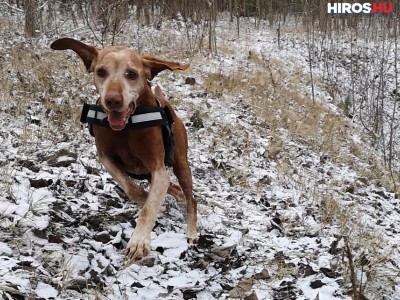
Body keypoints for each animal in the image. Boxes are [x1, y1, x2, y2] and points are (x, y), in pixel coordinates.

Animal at [51, 37, 198, 258]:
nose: (113, 100)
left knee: (191, 198)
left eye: (132, 74)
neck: (127, 128)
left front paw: (139, 240)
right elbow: (132, 189)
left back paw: (191, 230)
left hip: (181, 163)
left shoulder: (158, 169)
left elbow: (149, 207)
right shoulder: (106, 158)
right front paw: (145, 197)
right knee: (173, 188)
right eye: (101, 71)